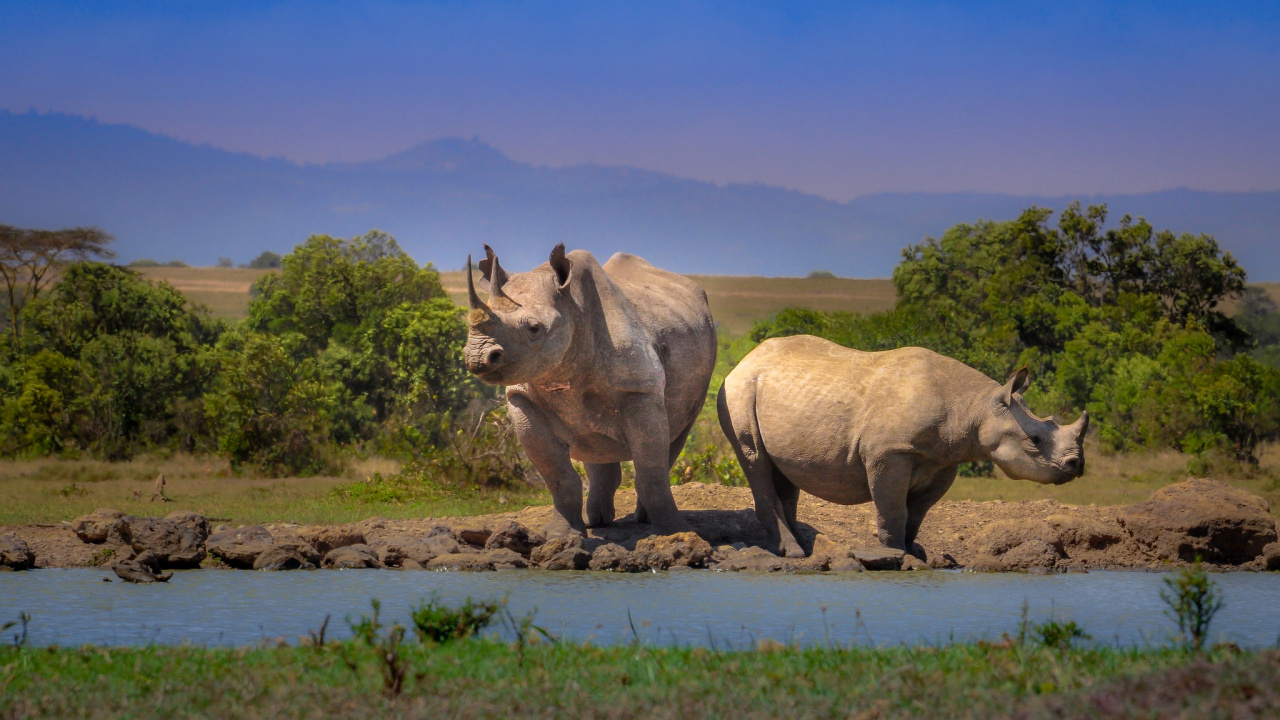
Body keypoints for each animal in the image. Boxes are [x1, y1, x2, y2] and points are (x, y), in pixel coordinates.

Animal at [464, 244, 717, 537]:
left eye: (534, 328)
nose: (477, 356)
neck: (572, 306)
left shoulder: (640, 390)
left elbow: (651, 471)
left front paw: (676, 532)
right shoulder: (521, 397)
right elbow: (558, 476)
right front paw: (562, 535)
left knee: (677, 434)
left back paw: (643, 520)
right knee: (594, 442)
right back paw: (597, 521)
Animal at [717, 335, 1088, 558]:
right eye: (1035, 440)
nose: (1077, 466)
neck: (976, 406)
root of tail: (742, 361)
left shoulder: (943, 460)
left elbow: (918, 512)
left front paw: (915, 552)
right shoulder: (890, 452)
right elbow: (893, 507)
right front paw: (895, 554)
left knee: (782, 471)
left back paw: (805, 549)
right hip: (738, 391)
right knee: (756, 460)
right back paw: (793, 552)